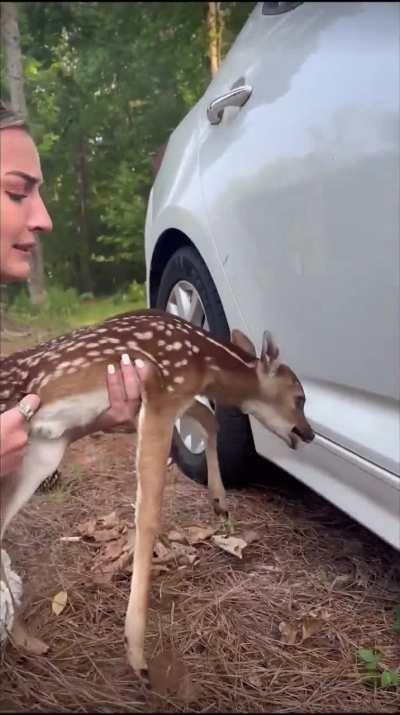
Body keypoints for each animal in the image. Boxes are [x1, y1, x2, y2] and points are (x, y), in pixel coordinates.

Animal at [0, 308, 314, 683]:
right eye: (300, 397)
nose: (309, 434)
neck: (205, 359)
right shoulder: (164, 389)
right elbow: (148, 514)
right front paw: (136, 654)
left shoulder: (167, 398)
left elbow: (209, 418)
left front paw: (219, 503)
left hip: (43, 450)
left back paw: (26, 640)